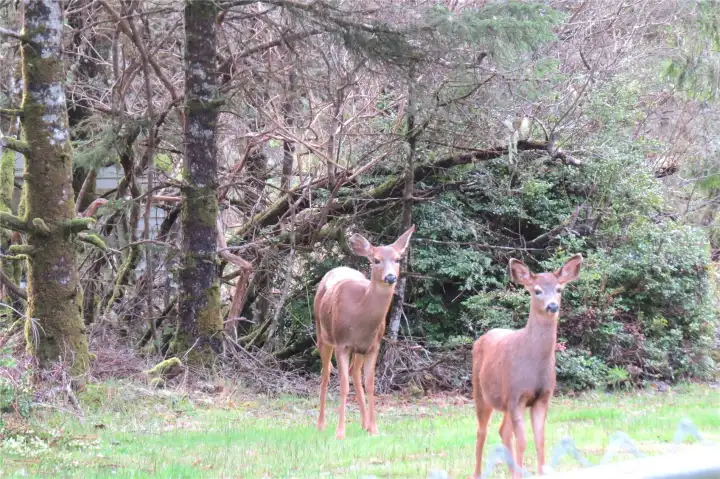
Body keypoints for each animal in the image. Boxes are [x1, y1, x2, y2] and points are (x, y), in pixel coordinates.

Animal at [314, 225, 416, 440]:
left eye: (398, 259)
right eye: (376, 260)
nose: (390, 277)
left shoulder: (373, 346)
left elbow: (370, 384)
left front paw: (375, 429)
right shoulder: (342, 344)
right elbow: (343, 385)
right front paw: (340, 433)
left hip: (358, 349)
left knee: (354, 372)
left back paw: (364, 424)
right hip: (323, 335)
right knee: (325, 375)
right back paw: (321, 424)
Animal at [472, 254, 583, 479]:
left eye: (559, 289)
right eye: (537, 290)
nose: (552, 306)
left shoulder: (543, 397)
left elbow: (540, 440)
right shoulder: (517, 396)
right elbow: (522, 441)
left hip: (504, 401)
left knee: (502, 431)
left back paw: (512, 472)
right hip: (480, 392)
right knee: (482, 431)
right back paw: (478, 474)